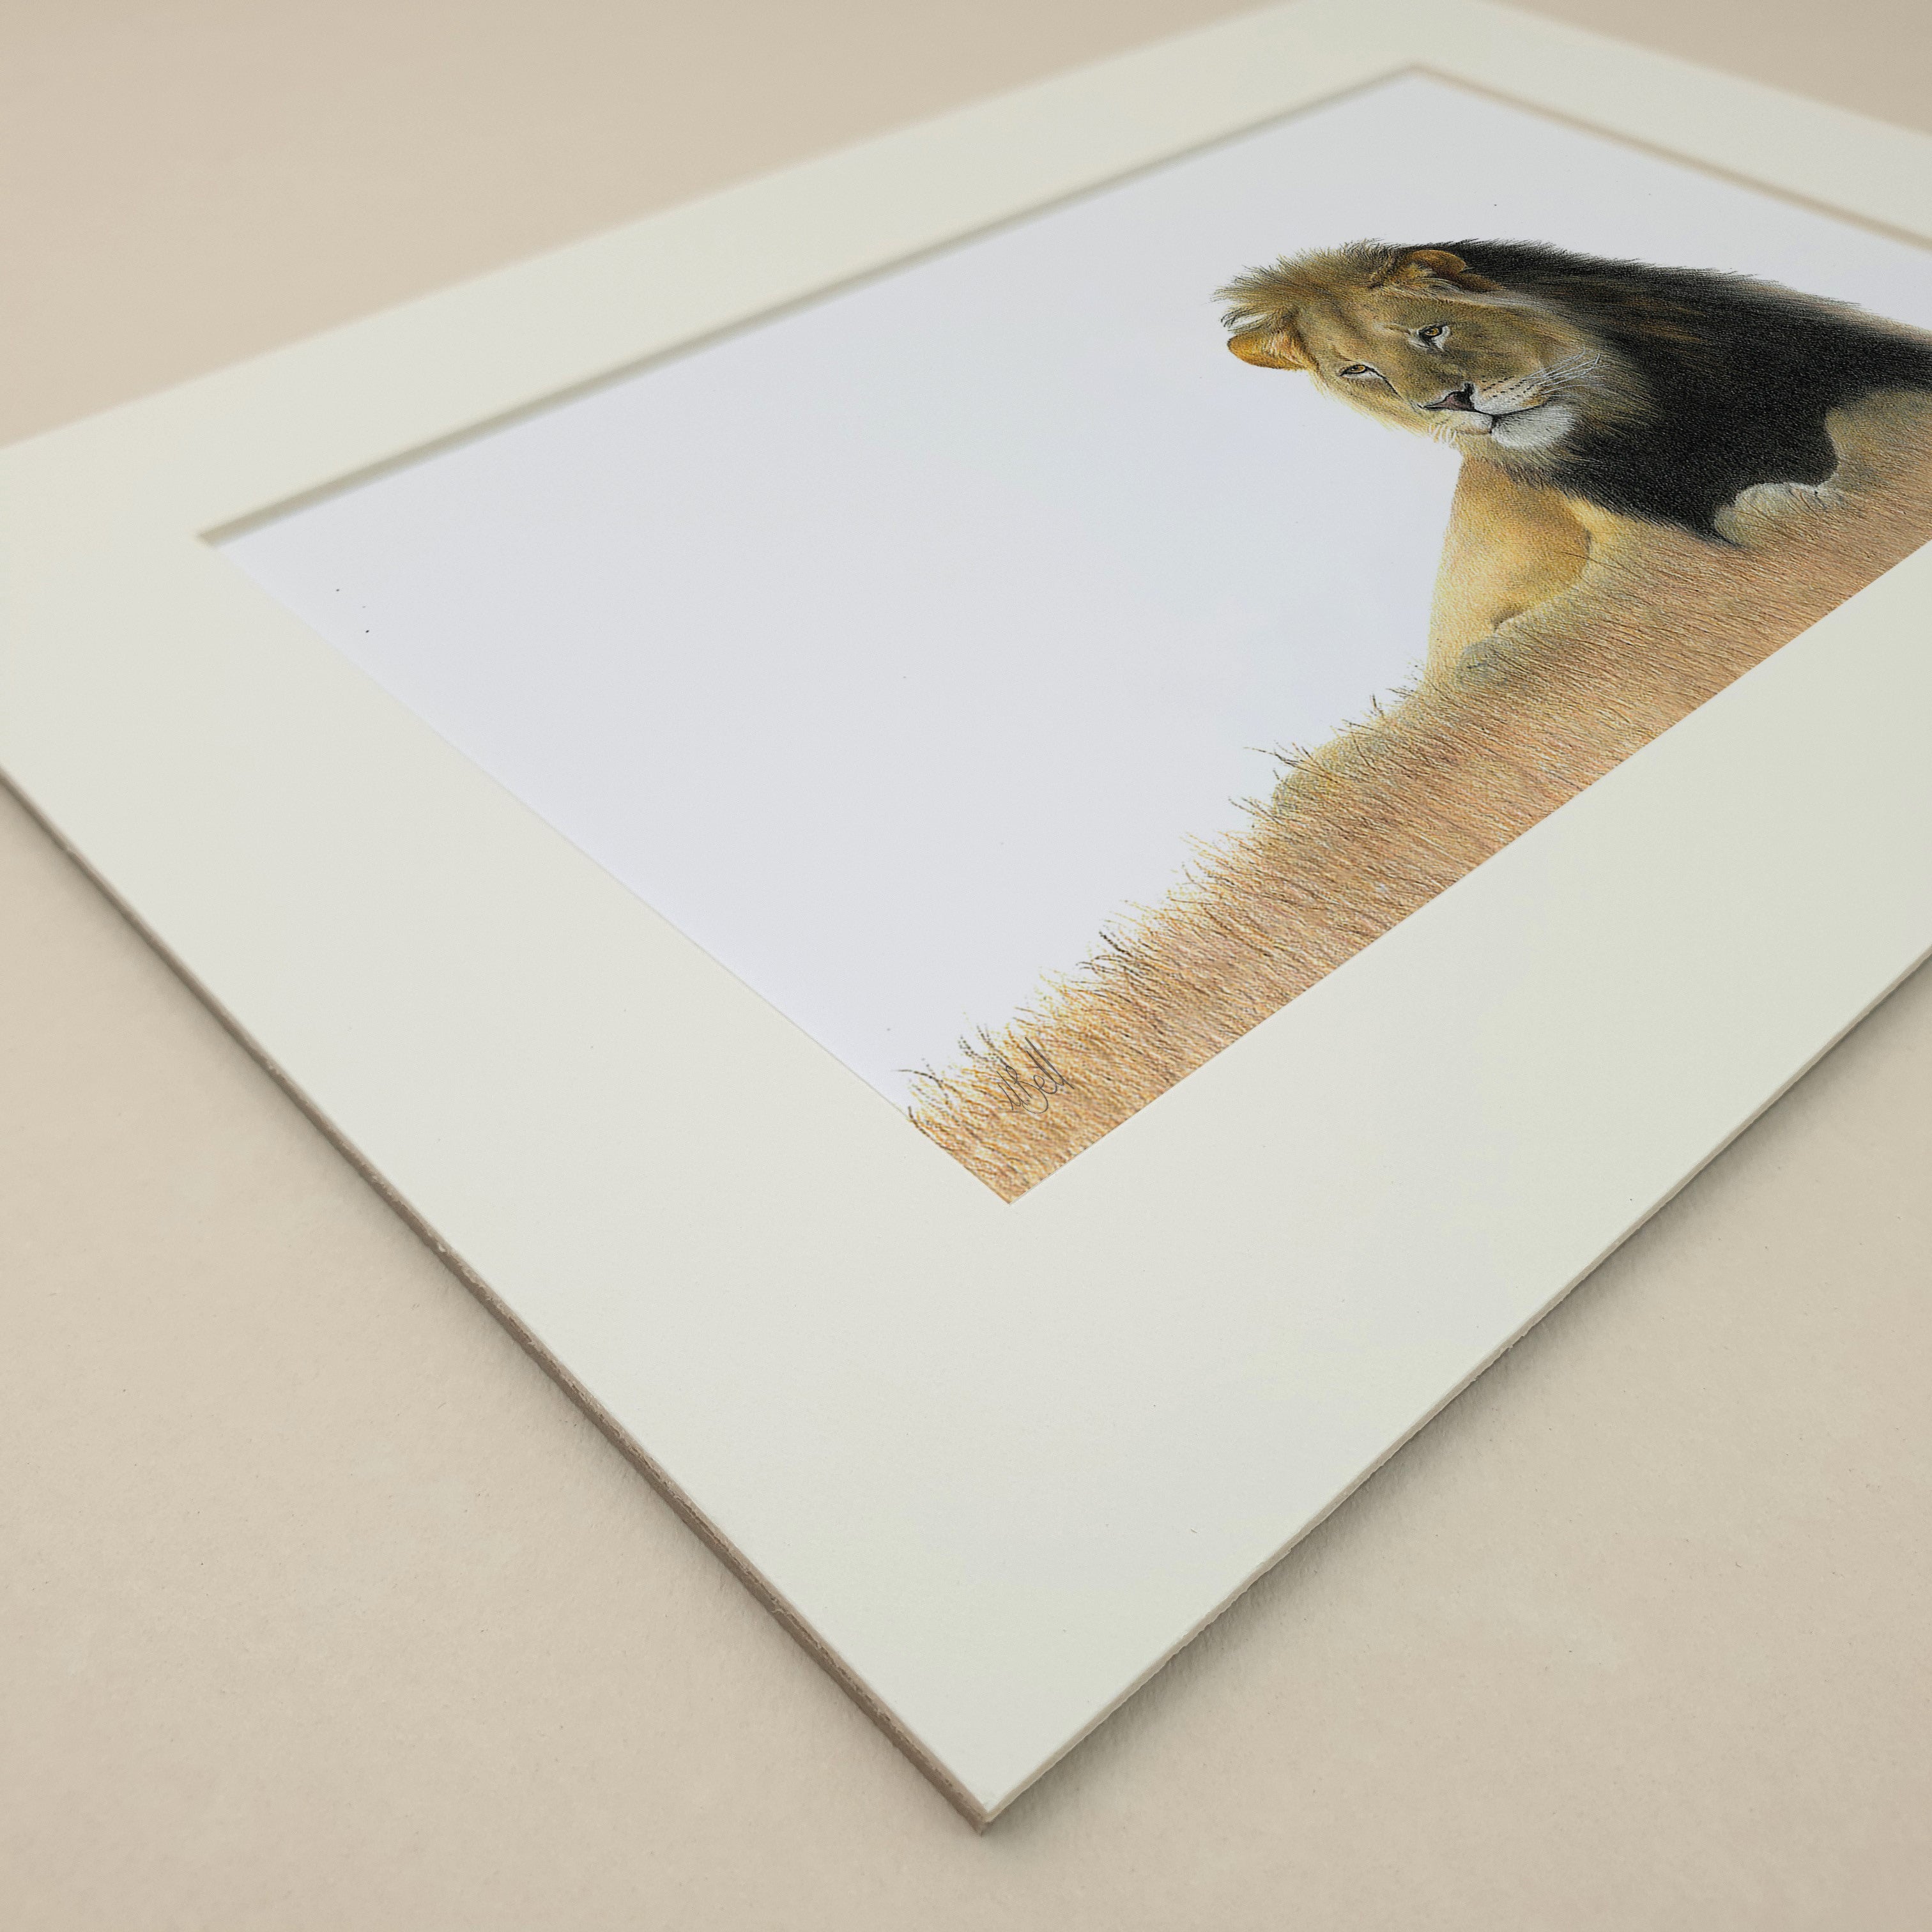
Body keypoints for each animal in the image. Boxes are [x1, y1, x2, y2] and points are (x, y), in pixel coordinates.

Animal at [1213, 241, 1932, 684]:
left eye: (1431, 331)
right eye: (1360, 371)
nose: (1449, 403)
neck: (1641, 408)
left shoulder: (1871, 367)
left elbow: (1868, 416)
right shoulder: (1635, 551)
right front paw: (1777, 509)